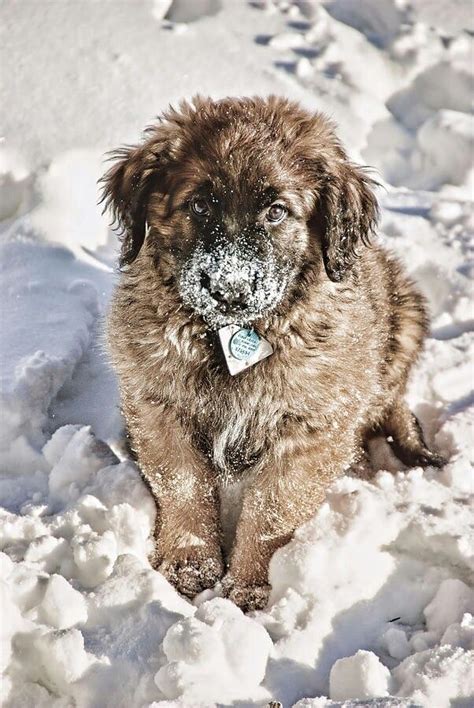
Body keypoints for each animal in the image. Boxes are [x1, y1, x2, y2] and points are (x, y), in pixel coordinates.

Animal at [101, 97, 444, 612]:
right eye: (199, 204)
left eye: (277, 212)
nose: (230, 290)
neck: (226, 337)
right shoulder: (158, 406)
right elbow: (184, 483)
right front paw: (190, 564)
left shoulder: (312, 426)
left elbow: (272, 509)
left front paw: (249, 585)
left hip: (404, 322)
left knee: (390, 406)